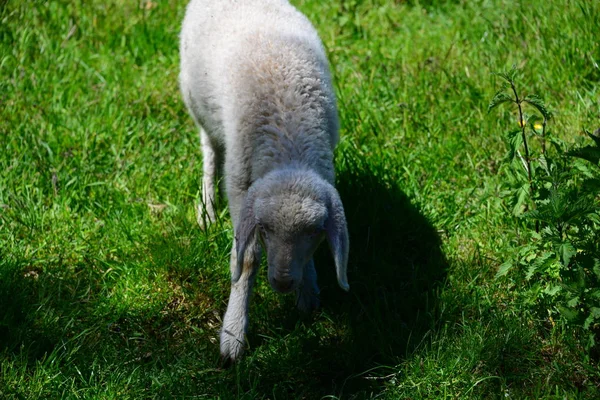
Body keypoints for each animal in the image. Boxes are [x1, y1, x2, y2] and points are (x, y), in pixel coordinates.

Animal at [178, 0, 350, 362]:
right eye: (265, 229)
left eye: (313, 232)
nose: (283, 284)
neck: (290, 144)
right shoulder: (240, 188)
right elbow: (246, 260)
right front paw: (233, 334)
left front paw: (308, 294)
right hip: (196, 101)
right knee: (209, 148)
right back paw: (207, 207)